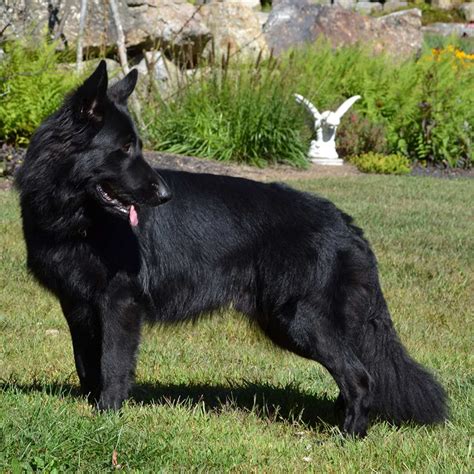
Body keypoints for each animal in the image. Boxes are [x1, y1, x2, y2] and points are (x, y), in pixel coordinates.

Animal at [13, 62, 444, 436]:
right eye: (123, 149)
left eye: (136, 147)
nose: (166, 195)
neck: (77, 219)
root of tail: (346, 224)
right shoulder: (77, 305)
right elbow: (87, 364)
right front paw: (90, 410)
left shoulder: (119, 303)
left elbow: (113, 364)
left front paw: (108, 418)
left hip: (301, 321)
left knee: (360, 377)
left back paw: (349, 436)